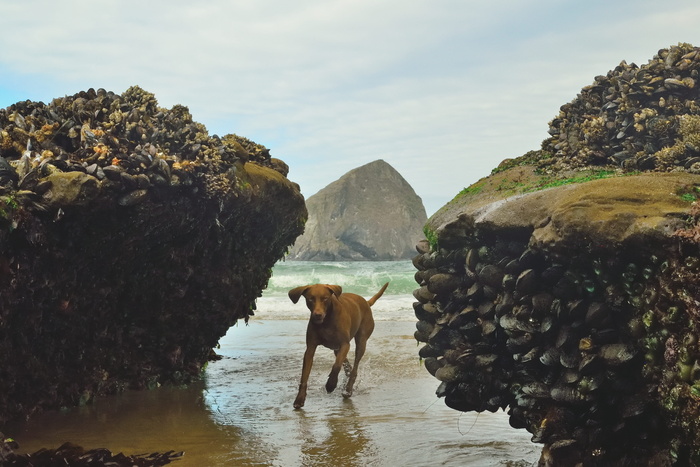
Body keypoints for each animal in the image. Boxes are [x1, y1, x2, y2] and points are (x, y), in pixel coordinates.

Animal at [288, 282, 392, 410]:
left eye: (325, 298)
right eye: (310, 299)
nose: (318, 315)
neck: (326, 321)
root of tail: (366, 302)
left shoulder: (344, 344)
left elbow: (336, 365)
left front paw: (331, 384)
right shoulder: (310, 348)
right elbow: (304, 375)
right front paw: (299, 398)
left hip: (362, 340)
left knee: (355, 366)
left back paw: (348, 389)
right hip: (336, 348)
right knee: (348, 366)